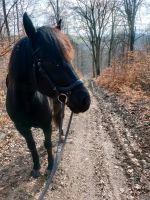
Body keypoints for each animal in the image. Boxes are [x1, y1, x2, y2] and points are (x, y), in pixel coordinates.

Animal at [5, 13, 91, 177]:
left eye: (68, 58)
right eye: (50, 61)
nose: (85, 100)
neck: (27, 101)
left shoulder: (46, 124)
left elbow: (48, 143)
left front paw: (50, 166)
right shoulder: (21, 128)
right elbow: (31, 145)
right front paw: (36, 167)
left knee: (61, 118)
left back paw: (62, 135)